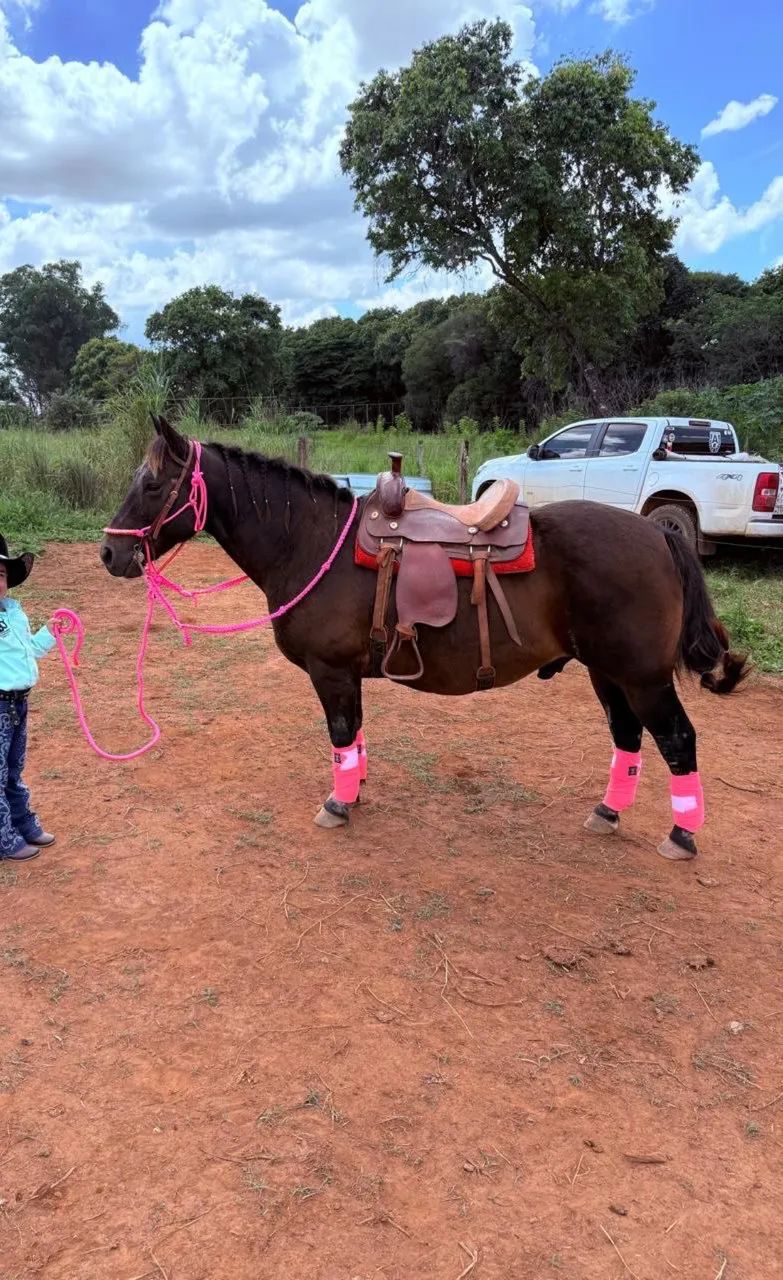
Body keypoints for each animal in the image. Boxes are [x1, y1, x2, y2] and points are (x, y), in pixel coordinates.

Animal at [100, 416, 748, 861]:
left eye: (153, 485)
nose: (109, 553)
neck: (311, 541)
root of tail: (658, 534)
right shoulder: (346, 674)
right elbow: (354, 737)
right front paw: (355, 789)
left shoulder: (330, 672)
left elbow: (341, 734)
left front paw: (337, 804)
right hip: (606, 672)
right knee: (628, 738)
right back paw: (608, 812)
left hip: (642, 678)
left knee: (678, 740)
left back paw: (682, 834)